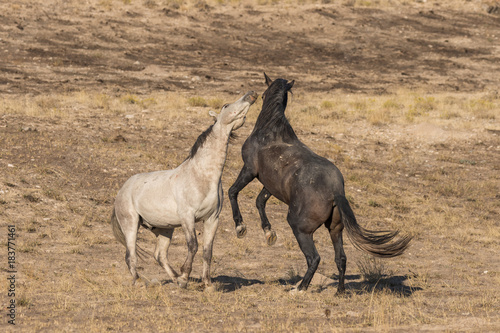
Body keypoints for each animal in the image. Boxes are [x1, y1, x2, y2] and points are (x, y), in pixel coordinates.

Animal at [111, 91, 256, 288]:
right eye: (226, 106)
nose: (251, 95)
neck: (202, 176)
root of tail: (122, 190)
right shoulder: (188, 217)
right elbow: (193, 245)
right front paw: (185, 276)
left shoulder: (212, 219)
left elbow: (207, 251)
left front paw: (207, 284)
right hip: (131, 224)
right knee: (130, 255)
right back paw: (140, 281)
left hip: (164, 229)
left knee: (160, 255)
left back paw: (174, 279)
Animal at [229, 74, 412, 292]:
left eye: (264, 94)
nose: (259, 95)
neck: (271, 131)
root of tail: (335, 190)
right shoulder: (271, 185)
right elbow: (260, 201)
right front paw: (269, 233)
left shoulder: (249, 170)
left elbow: (233, 192)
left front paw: (240, 227)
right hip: (335, 229)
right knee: (341, 258)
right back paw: (339, 292)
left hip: (300, 228)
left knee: (314, 258)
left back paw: (299, 289)